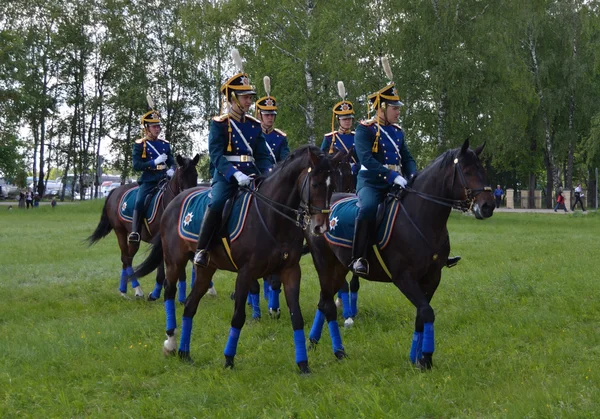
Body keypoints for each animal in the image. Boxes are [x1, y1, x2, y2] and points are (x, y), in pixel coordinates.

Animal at [86, 156, 199, 300]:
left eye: (195, 175)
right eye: (181, 176)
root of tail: (115, 191)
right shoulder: (162, 242)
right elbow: (163, 268)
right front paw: (156, 293)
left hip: (133, 239)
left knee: (127, 258)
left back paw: (124, 289)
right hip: (120, 231)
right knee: (126, 259)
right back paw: (135, 290)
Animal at [132, 147, 336, 374]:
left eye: (333, 186)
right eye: (315, 184)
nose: (320, 227)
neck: (272, 216)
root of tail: (173, 202)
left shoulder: (291, 271)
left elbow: (297, 317)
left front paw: (303, 364)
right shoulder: (246, 273)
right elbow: (238, 317)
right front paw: (228, 359)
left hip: (205, 269)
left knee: (190, 305)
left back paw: (185, 353)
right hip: (174, 261)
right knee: (169, 292)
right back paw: (170, 342)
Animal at [308, 140, 494, 370]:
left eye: (483, 170)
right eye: (467, 171)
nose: (488, 205)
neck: (421, 217)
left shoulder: (433, 277)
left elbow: (421, 314)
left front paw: (416, 359)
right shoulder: (404, 277)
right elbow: (427, 312)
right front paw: (426, 359)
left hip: (339, 267)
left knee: (323, 301)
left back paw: (315, 343)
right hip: (325, 264)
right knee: (326, 303)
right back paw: (334, 350)